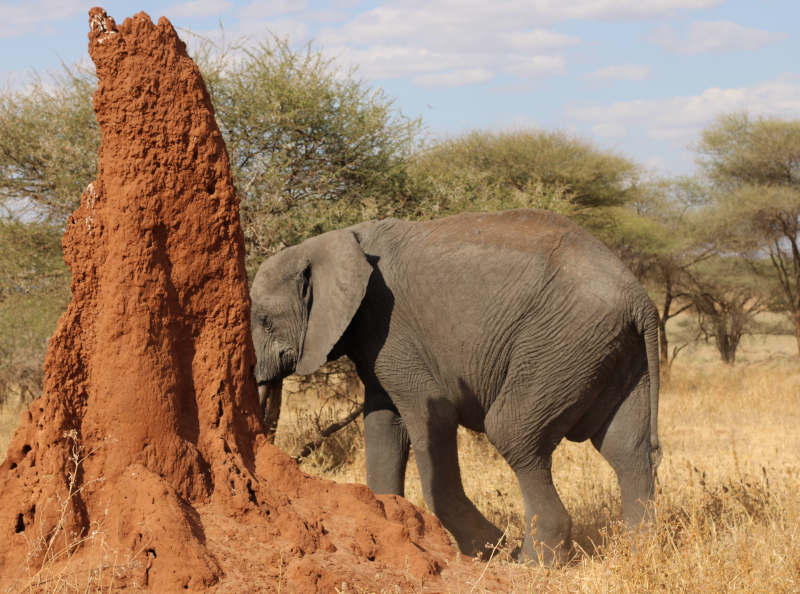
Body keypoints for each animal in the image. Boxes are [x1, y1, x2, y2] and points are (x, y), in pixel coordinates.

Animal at [252, 208, 664, 560]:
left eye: (264, 320)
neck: (327, 242)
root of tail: (640, 299)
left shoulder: (390, 326)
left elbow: (430, 414)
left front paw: (490, 549)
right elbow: (382, 423)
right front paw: (387, 527)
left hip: (564, 343)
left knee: (512, 432)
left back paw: (532, 563)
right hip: (611, 350)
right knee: (626, 448)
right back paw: (640, 552)